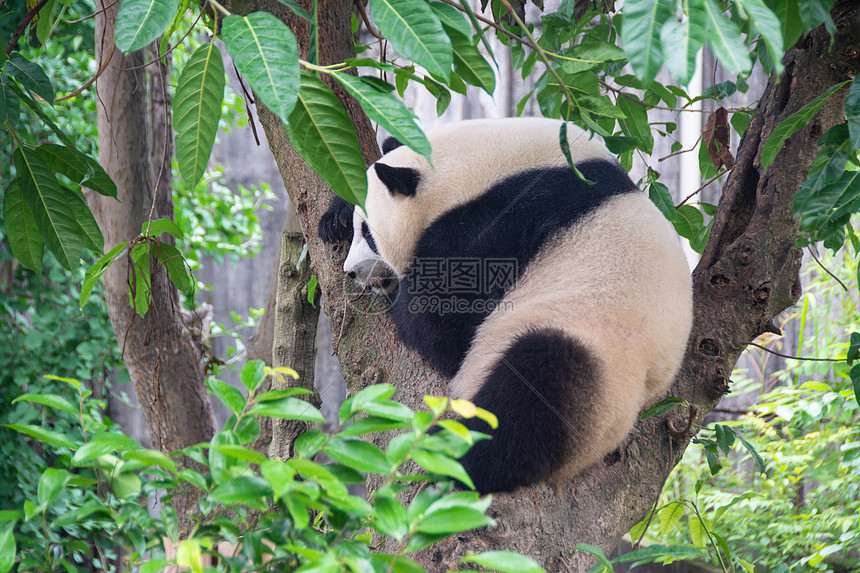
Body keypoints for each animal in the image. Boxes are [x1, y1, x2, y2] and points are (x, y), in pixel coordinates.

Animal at [320, 116, 696, 492]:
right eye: (356, 228)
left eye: (369, 234)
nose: (350, 271)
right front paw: (334, 217)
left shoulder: (506, 220)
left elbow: (447, 329)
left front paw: (402, 300)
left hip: (597, 355)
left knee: (535, 390)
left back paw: (454, 451)